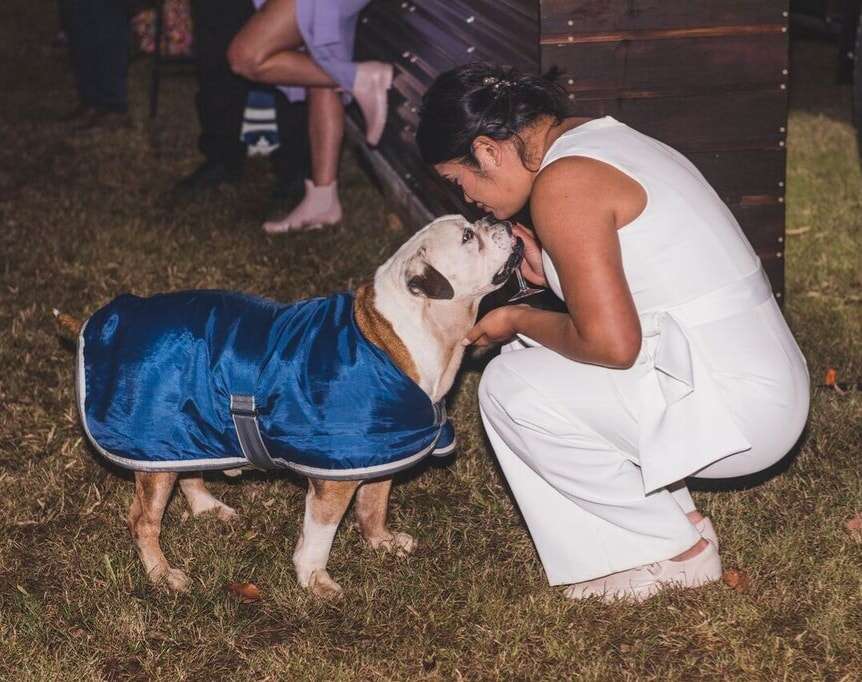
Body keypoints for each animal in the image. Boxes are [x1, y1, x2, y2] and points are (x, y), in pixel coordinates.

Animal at [60, 215, 524, 592]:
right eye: (468, 237)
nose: (499, 219)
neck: (394, 332)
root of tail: (96, 321)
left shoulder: (380, 454)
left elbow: (373, 507)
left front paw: (382, 542)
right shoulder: (334, 480)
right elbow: (320, 534)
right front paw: (313, 578)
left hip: (187, 430)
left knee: (187, 470)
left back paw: (208, 507)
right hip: (155, 444)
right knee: (144, 520)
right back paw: (161, 573)